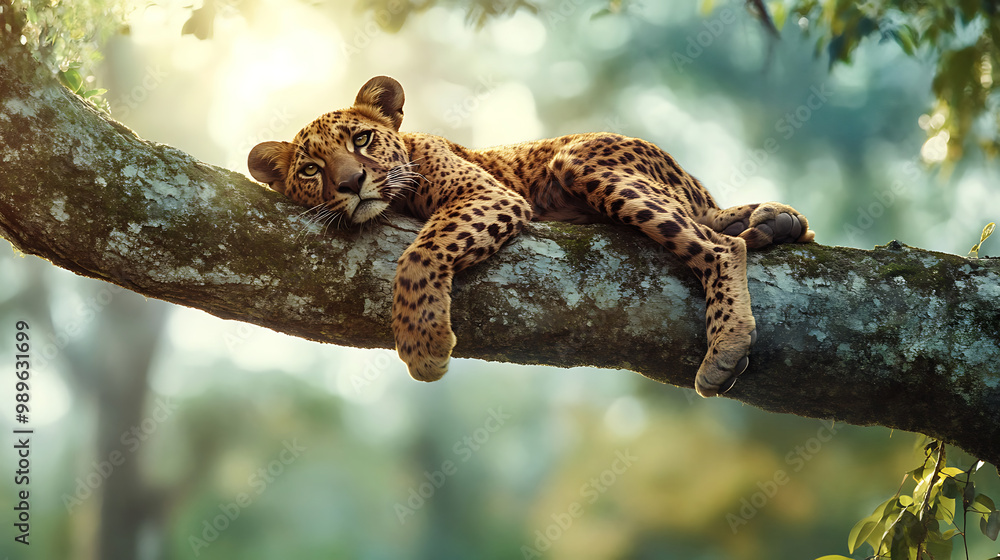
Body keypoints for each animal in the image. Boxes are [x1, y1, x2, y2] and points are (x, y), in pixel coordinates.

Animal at [248, 76, 815, 397]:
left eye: (362, 139)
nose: (350, 183)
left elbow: (418, 256)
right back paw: (774, 223)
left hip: (581, 160)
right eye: (310, 170)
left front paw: (424, 344)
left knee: (718, 243)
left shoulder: (489, 194)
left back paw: (726, 344)